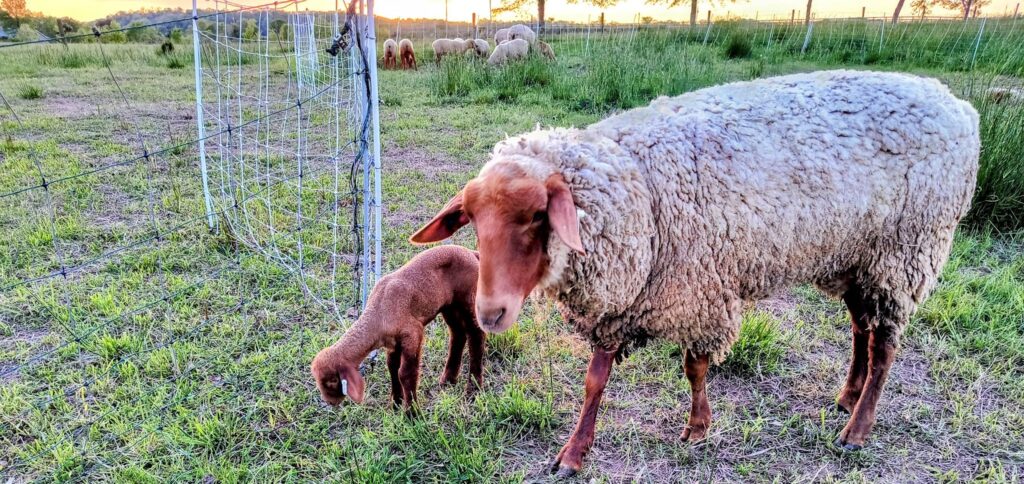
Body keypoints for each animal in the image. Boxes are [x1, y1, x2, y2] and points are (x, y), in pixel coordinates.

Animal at [311, 245, 485, 411]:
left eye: (333, 380)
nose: (329, 402)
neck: (378, 313)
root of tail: (472, 253)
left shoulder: (413, 333)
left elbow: (406, 373)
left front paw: (412, 413)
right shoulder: (393, 342)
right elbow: (392, 367)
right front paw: (396, 403)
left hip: (468, 296)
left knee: (476, 335)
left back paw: (473, 388)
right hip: (449, 305)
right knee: (458, 334)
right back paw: (448, 380)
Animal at [410, 70, 980, 476]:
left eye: (536, 217)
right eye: (472, 221)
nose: (491, 312)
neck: (638, 192)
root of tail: (959, 105)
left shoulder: (697, 286)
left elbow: (695, 367)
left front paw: (698, 428)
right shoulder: (626, 298)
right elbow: (595, 381)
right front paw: (573, 454)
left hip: (905, 253)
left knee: (885, 345)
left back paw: (858, 429)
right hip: (858, 253)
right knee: (862, 326)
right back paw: (847, 396)